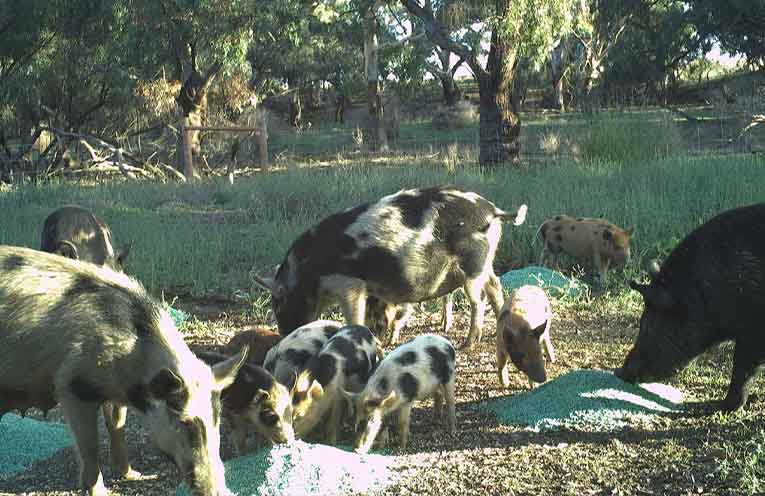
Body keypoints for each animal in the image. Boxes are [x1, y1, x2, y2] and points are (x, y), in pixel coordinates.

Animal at [0, 245, 245, 496]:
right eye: (186, 423)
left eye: (217, 420)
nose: (218, 490)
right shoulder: (73, 387)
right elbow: (89, 446)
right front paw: (100, 491)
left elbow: (117, 425)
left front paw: (131, 475)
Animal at [255, 186, 527, 349]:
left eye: (278, 303)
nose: (283, 335)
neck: (309, 271)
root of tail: (493, 210)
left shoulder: (349, 283)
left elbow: (353, 314)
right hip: (487, 261)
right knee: (495, 287)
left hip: (473, 265)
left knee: (478, 301)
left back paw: (467, 343)